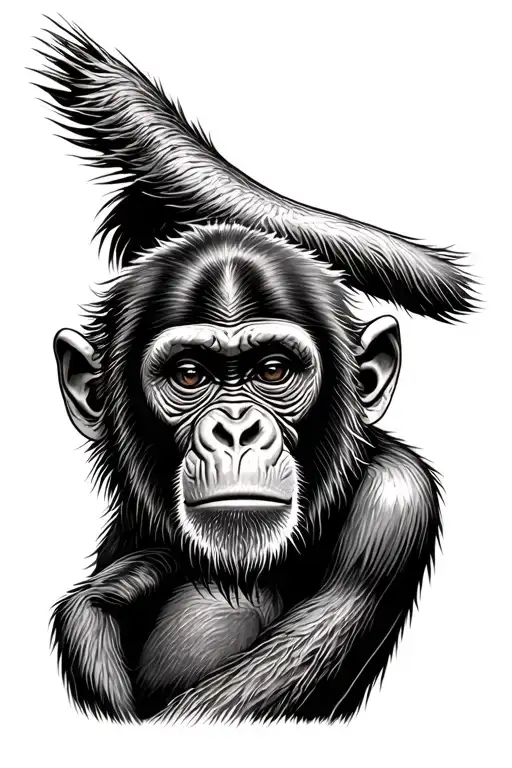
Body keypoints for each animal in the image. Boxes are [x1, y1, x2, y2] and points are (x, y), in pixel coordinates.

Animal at [35, 18, 476, 723]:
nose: (237, 427)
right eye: (190, 374)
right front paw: (111, 596)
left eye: (273, 368)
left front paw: (106, 599)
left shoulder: (396, 501)